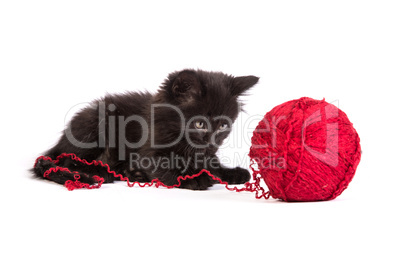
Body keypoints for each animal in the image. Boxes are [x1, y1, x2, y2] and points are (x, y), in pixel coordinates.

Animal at [31, 69, 258, 191]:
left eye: (223, 126)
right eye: (199, 124)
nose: (212, 142)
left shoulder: (204, 153)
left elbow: (210, 163)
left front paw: (230, 172)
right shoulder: (148, 152)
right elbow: (166, 167)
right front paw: (193, 178)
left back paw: (132, 173)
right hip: (94, 127)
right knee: (68, 160)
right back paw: (102, 172)